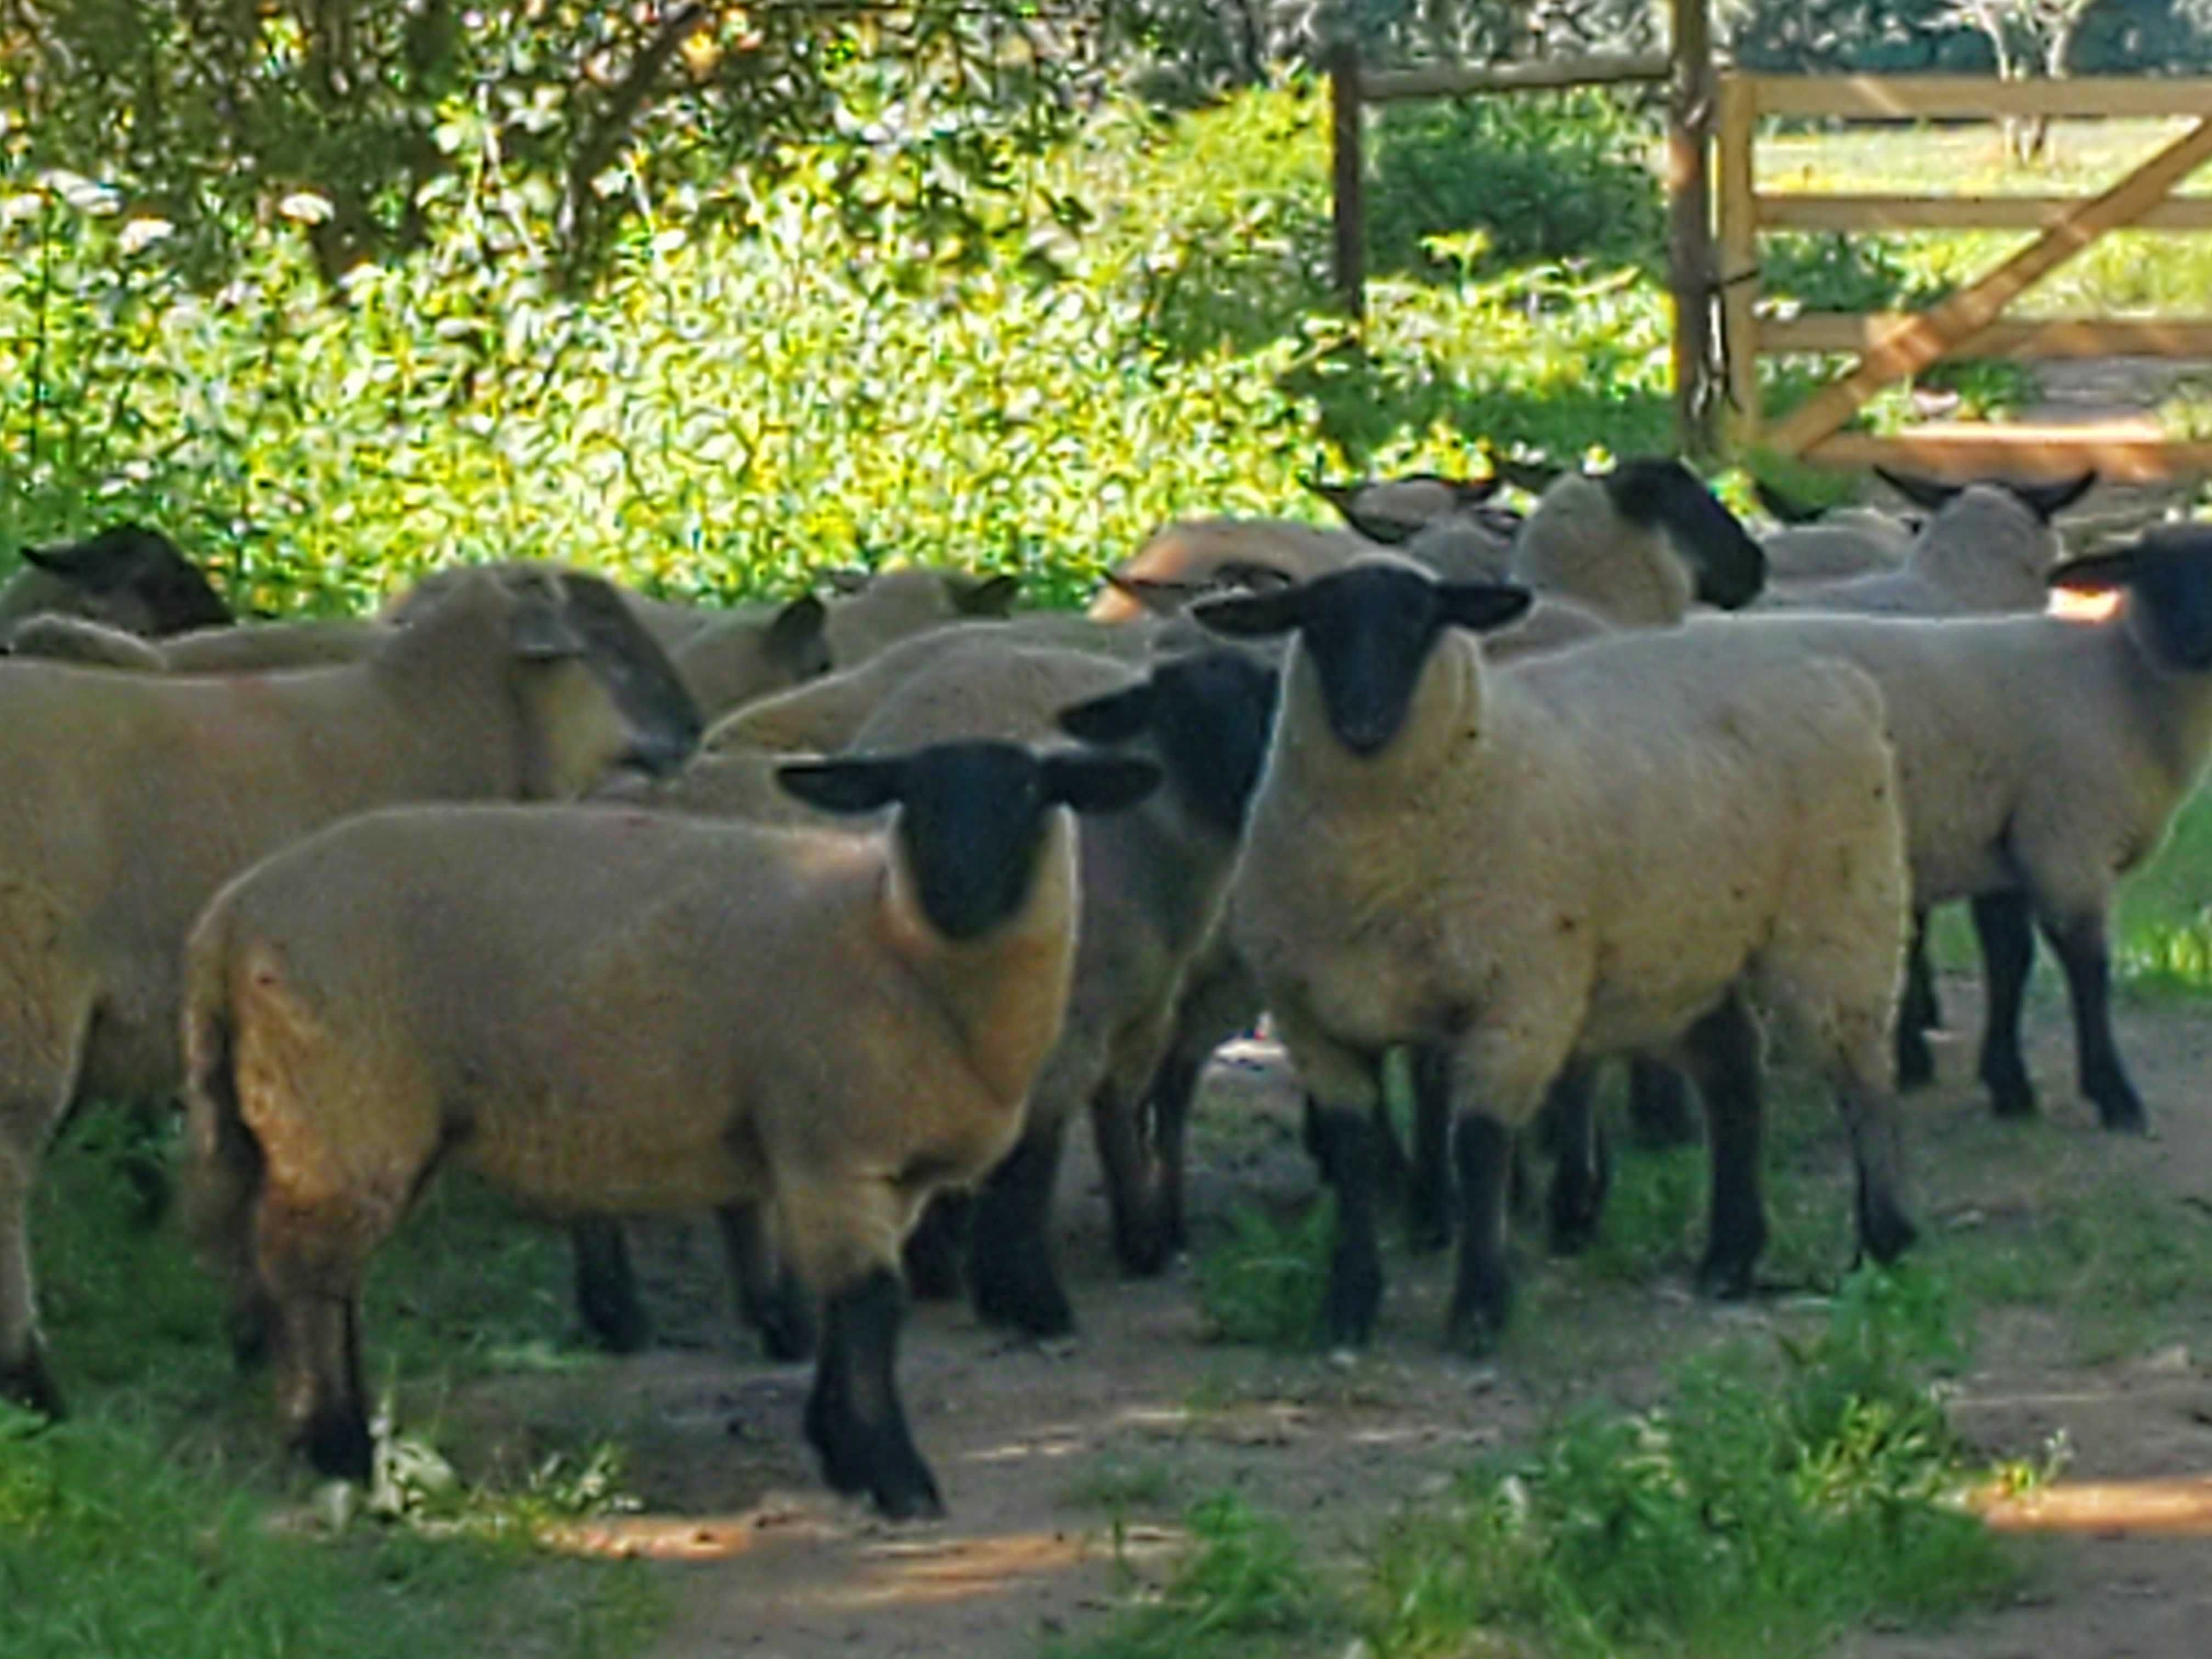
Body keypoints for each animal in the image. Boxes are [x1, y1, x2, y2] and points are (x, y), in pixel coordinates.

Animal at [0, 571, 699, 1415]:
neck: (438, 723)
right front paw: (616, 1311)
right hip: (28, 995)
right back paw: (32, 1379)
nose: (693, 733)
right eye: (606, 643)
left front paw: (257, 1334)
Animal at [181, 738, 1167, 1522]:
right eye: (912, 797)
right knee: (303, 1271)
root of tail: (226, 918)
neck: (889, 939)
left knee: (311, 1272)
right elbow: (870, 1304)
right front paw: (894, 1475)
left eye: (1032, 792)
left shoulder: (874, 1171)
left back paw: (337, 1430)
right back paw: (337, 1447)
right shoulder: (832, 1143)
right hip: (338, 1100)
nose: (957, 891)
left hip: (322, 1117)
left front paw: (839, 1446)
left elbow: (847, 1306)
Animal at [1203, 560, 1911, 1353]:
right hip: (1680, 952)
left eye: (1421, 622)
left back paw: (1883, 1240)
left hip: (1839, 915)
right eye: (1317, 623)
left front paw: (1480, 1307)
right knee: (1733, 1074)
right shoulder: (1312, 1020)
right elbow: (1354, 1155)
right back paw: (1730, 1255)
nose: (1362, 720)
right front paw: (1348, 1305)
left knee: (1861, 1076)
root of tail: (1836, 675)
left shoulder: (1517, 997)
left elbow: (1479, 1145)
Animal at [1690, 526, 2212, 1141]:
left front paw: (2009, 1085)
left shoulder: (2003, 846)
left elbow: (2010, 963)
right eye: (2154, 573)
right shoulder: (2065, 840)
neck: (2121, 684)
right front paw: (2113, 1095)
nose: (2195, 638)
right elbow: (2089, 970)